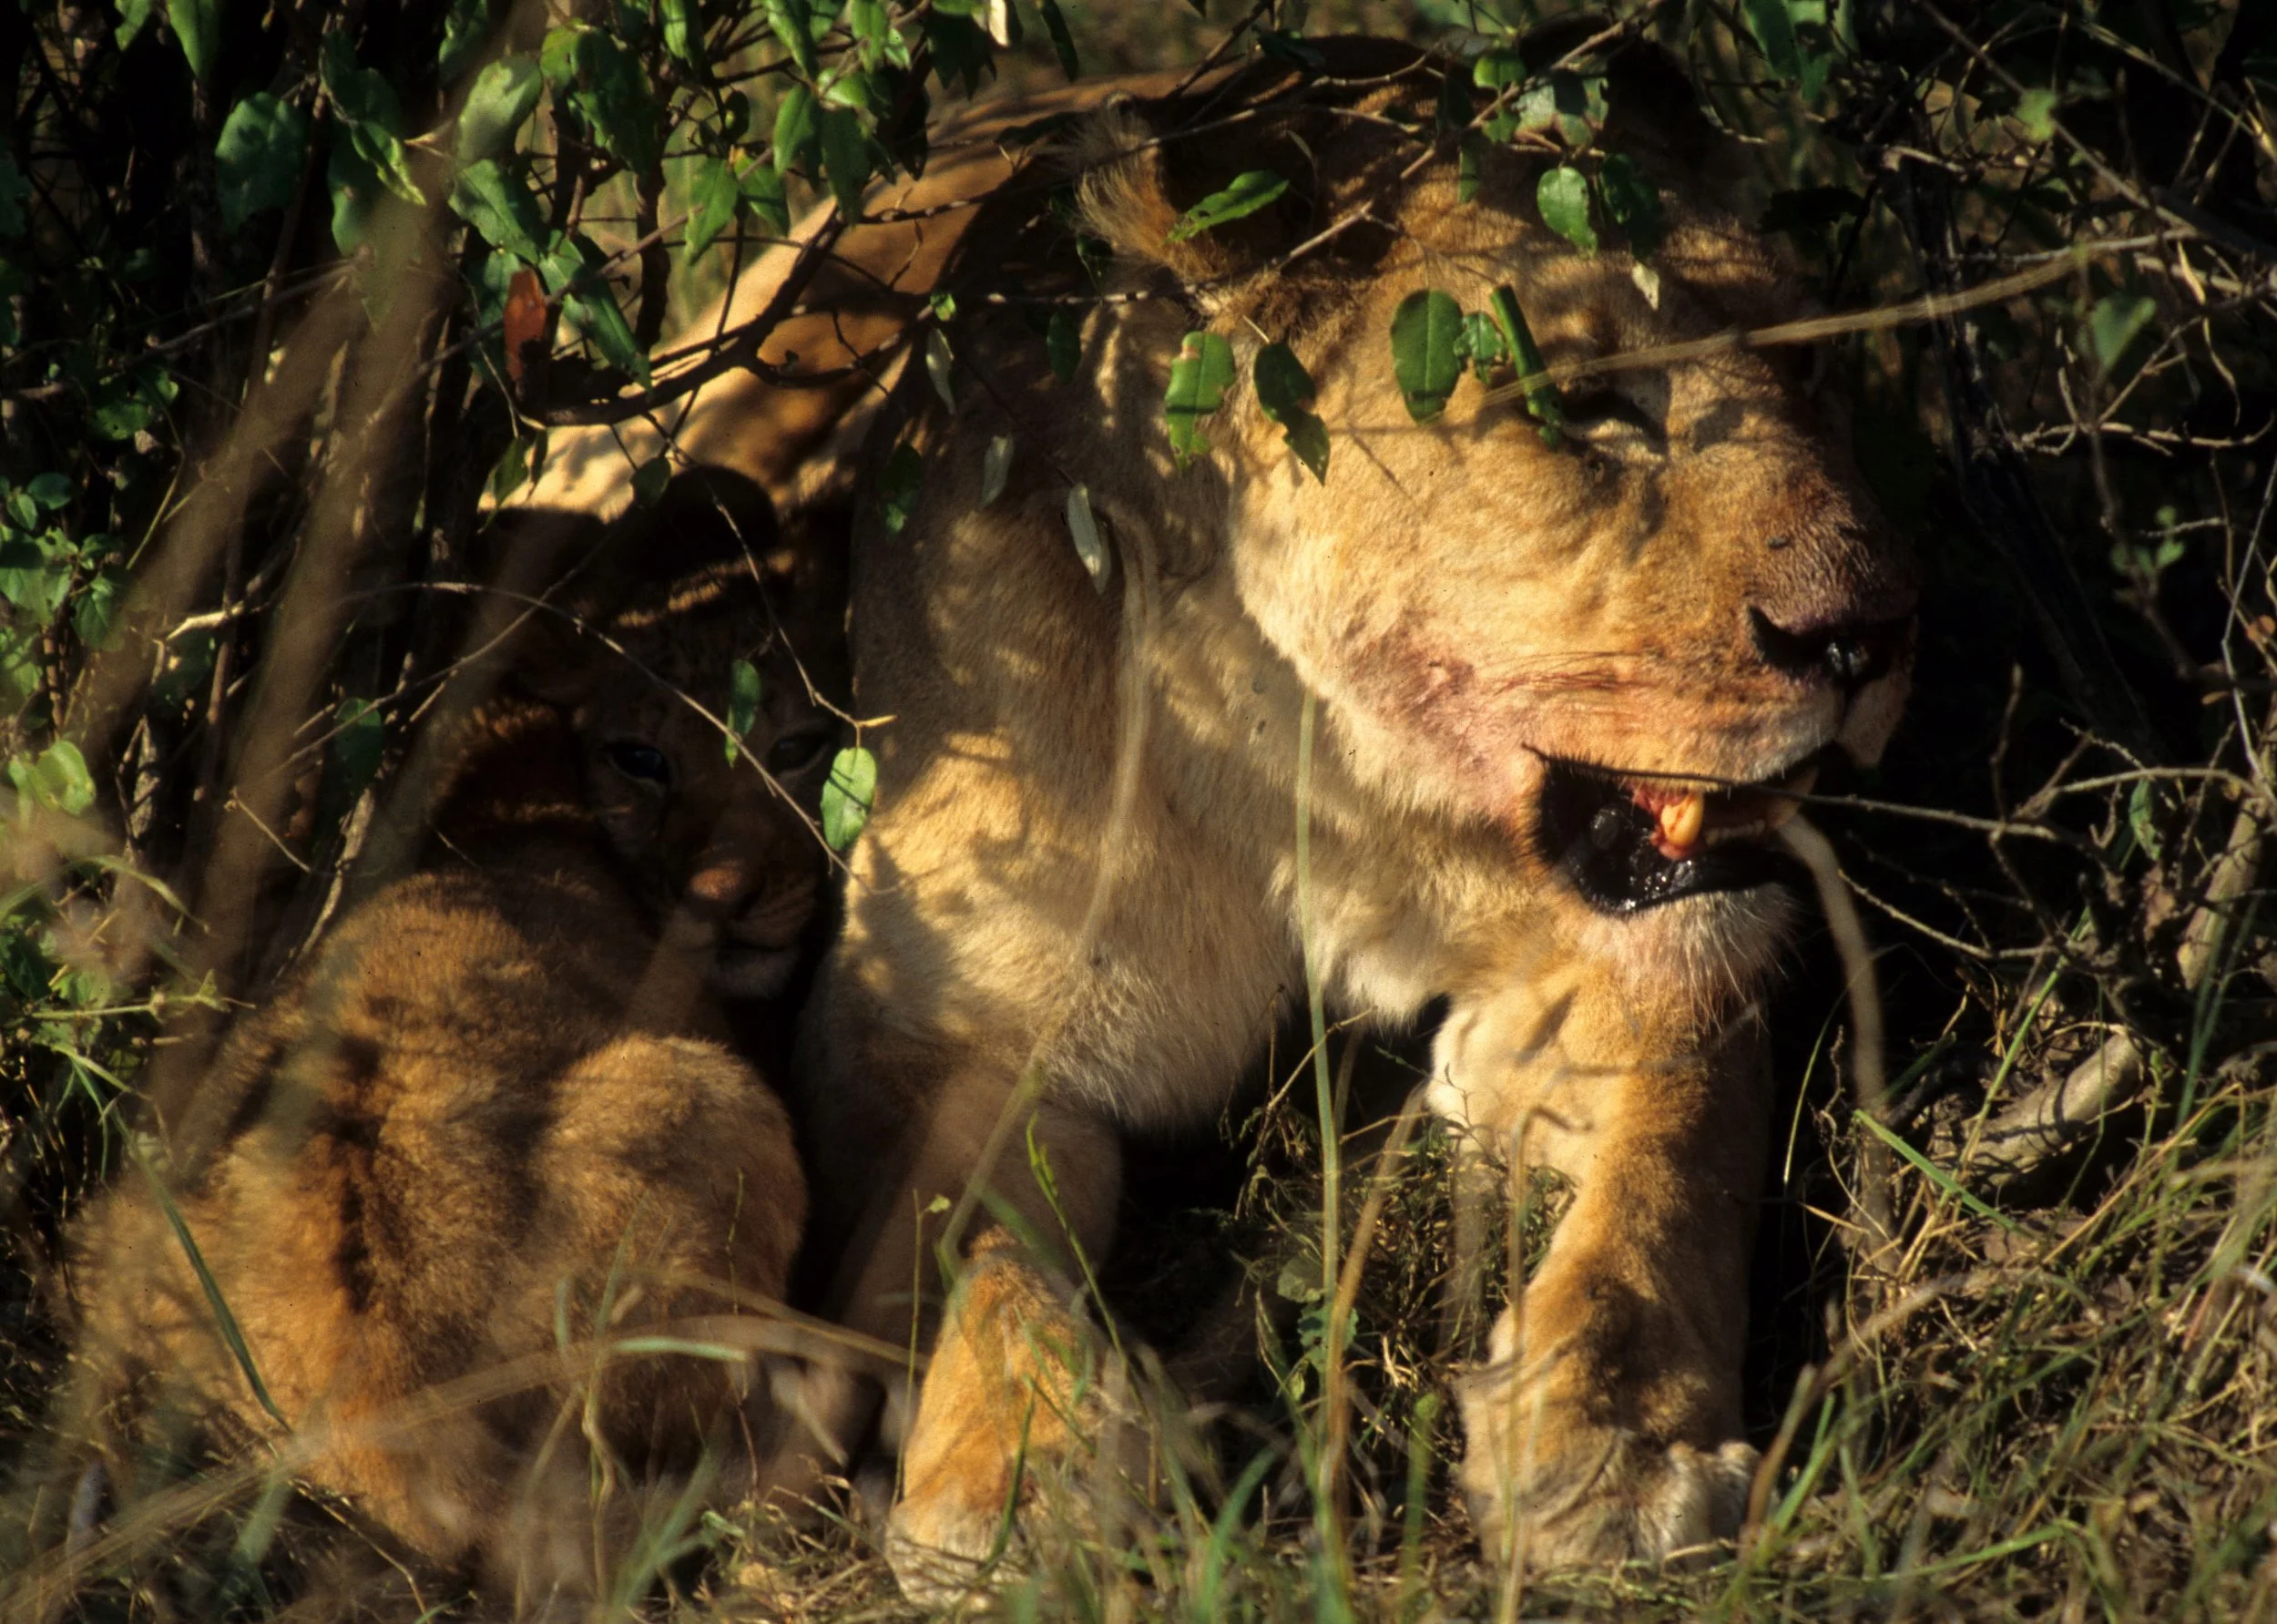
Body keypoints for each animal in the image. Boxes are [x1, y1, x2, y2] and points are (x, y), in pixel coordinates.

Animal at [52, 470, 841, 1607]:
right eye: (640, 759)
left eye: (801, 746)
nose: (721, 893)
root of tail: (381, 1401)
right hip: (703, 1094)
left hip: (120, 1229)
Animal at [775, 31, 1917, 1600]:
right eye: (1584, 403)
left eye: (1808, 365)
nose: (1867, 636)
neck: (1310, 775)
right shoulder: (940, 1024)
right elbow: (981, 1253)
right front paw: (1011, 1487)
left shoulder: (1622, 975)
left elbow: (1673, 1167)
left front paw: (1618, 1437)